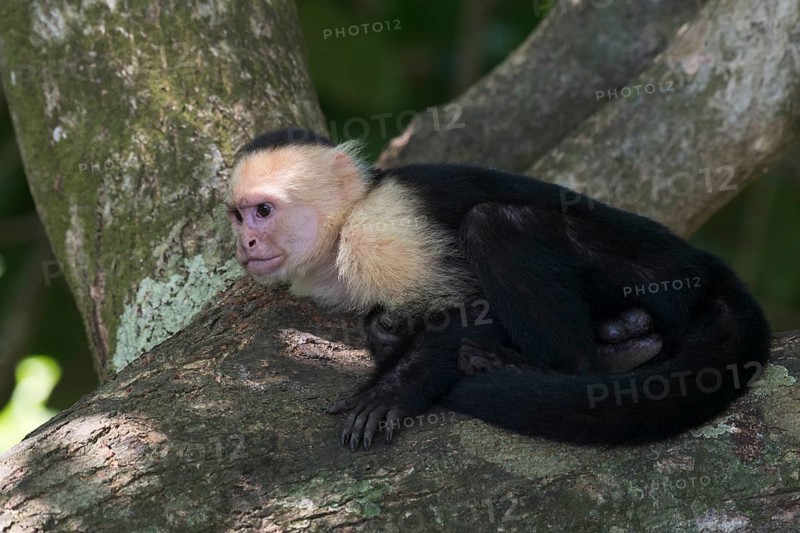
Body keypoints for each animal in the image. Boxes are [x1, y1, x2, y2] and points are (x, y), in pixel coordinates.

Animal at [227, 127, 770, 451]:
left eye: (264, 211)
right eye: (236, 216)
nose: (246, 242)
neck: (344, 224)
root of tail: (705, 265)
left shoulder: (381, 232)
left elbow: (473, 303)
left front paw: (393, 389)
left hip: (649, 274)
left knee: (495, 224)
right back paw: (624, 340)